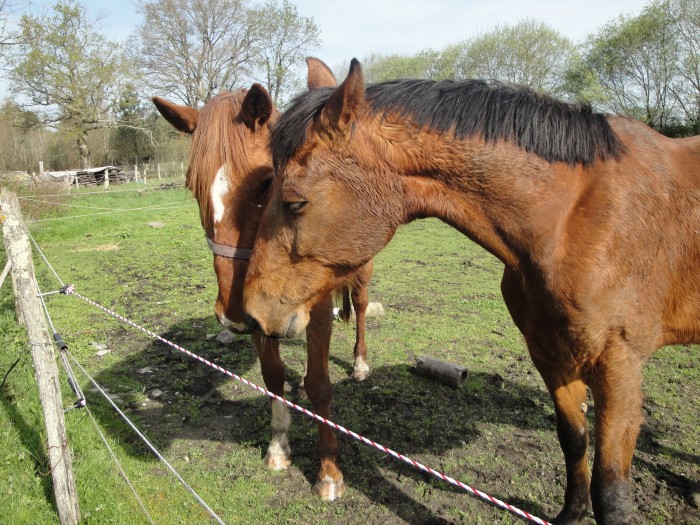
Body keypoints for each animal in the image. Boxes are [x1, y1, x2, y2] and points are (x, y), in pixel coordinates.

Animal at [151, 56, 374, 500]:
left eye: (266, 182)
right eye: (192, 186)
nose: (232, 311)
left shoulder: (314, 309)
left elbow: (321, 382)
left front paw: (328, 471)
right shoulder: (258, 316)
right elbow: (273, 377)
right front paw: (278, 447)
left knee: (358, 307)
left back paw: (359, 362)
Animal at [245, 59, 700, 520]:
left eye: (295, 203)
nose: (253, 312)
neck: (574, 219)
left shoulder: (619, 369)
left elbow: (612, 493)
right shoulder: (551, 355)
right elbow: (573, 441)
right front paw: (571, 514)